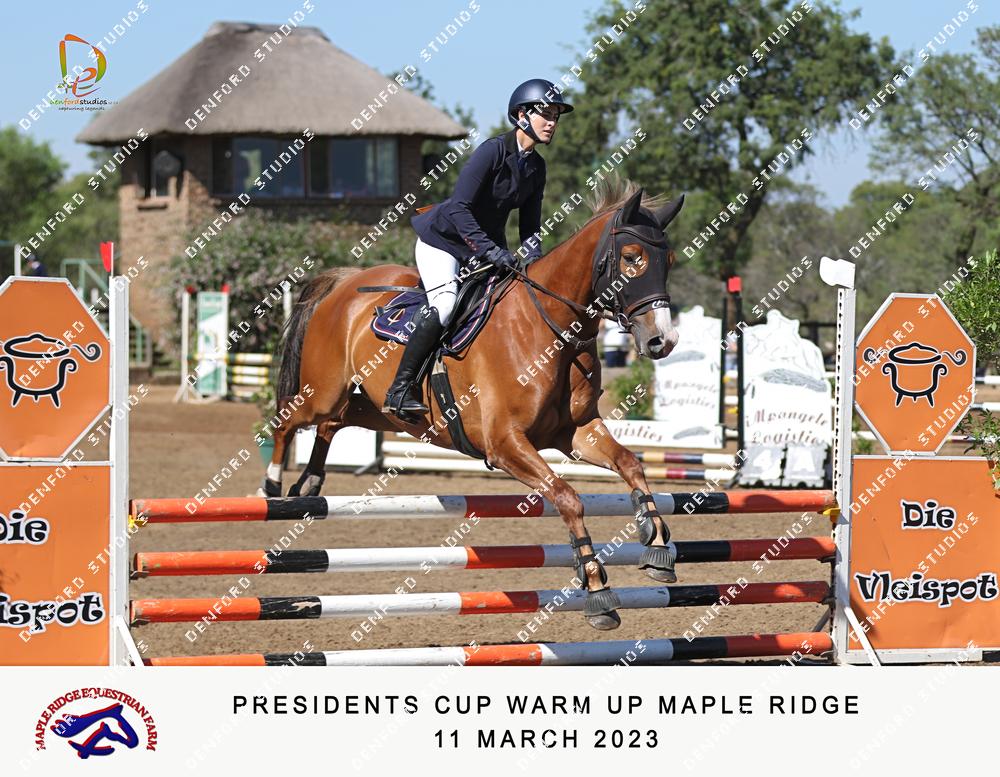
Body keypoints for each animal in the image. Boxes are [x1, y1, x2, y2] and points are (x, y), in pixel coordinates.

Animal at [263, 181, 684, 630]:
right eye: (632, 258)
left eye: (669, 260)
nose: (663, 341)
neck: (552, 329)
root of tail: (347, 280)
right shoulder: (505, 444)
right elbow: (568, 497)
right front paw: (597, 590)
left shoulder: (576, 433)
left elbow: (631, 465)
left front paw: (657, 546)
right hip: (323, 392)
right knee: (287, 418)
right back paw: (272, 487)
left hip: (380, 410)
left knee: (333, 423)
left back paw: (310, 482)